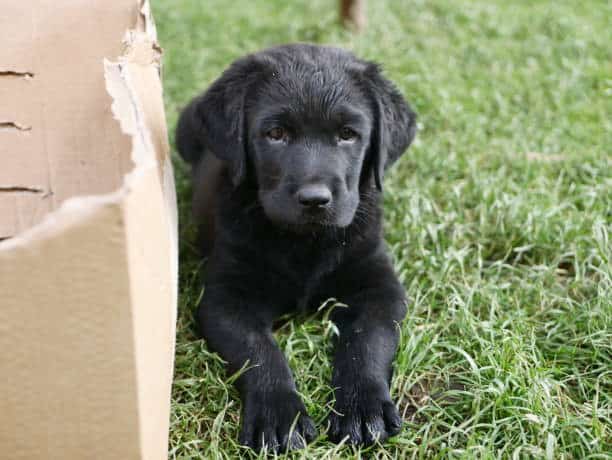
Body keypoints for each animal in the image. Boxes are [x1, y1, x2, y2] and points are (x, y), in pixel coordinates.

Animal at [176, 44, 416, 452]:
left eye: (348, 135)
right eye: (275, 134)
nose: (315, 199)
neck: (305, 242)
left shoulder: (380, 286)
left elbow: (368, 341)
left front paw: (363, 407)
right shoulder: (226, 299)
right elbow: (260, 351)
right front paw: (278, 416)